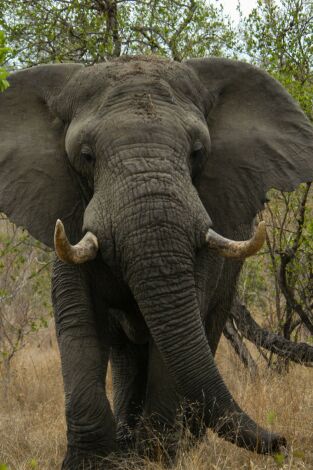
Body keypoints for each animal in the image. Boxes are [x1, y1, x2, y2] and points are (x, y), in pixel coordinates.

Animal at [0, 57, 312, 468]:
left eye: (197, 152)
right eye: (86, 156)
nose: (282, 442)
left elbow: (178, 329)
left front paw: (155, 457)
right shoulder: (67, 216)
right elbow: (80, 322)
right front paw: (93, 462)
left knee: (203, 330)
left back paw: (177, 443)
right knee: (127, 353)